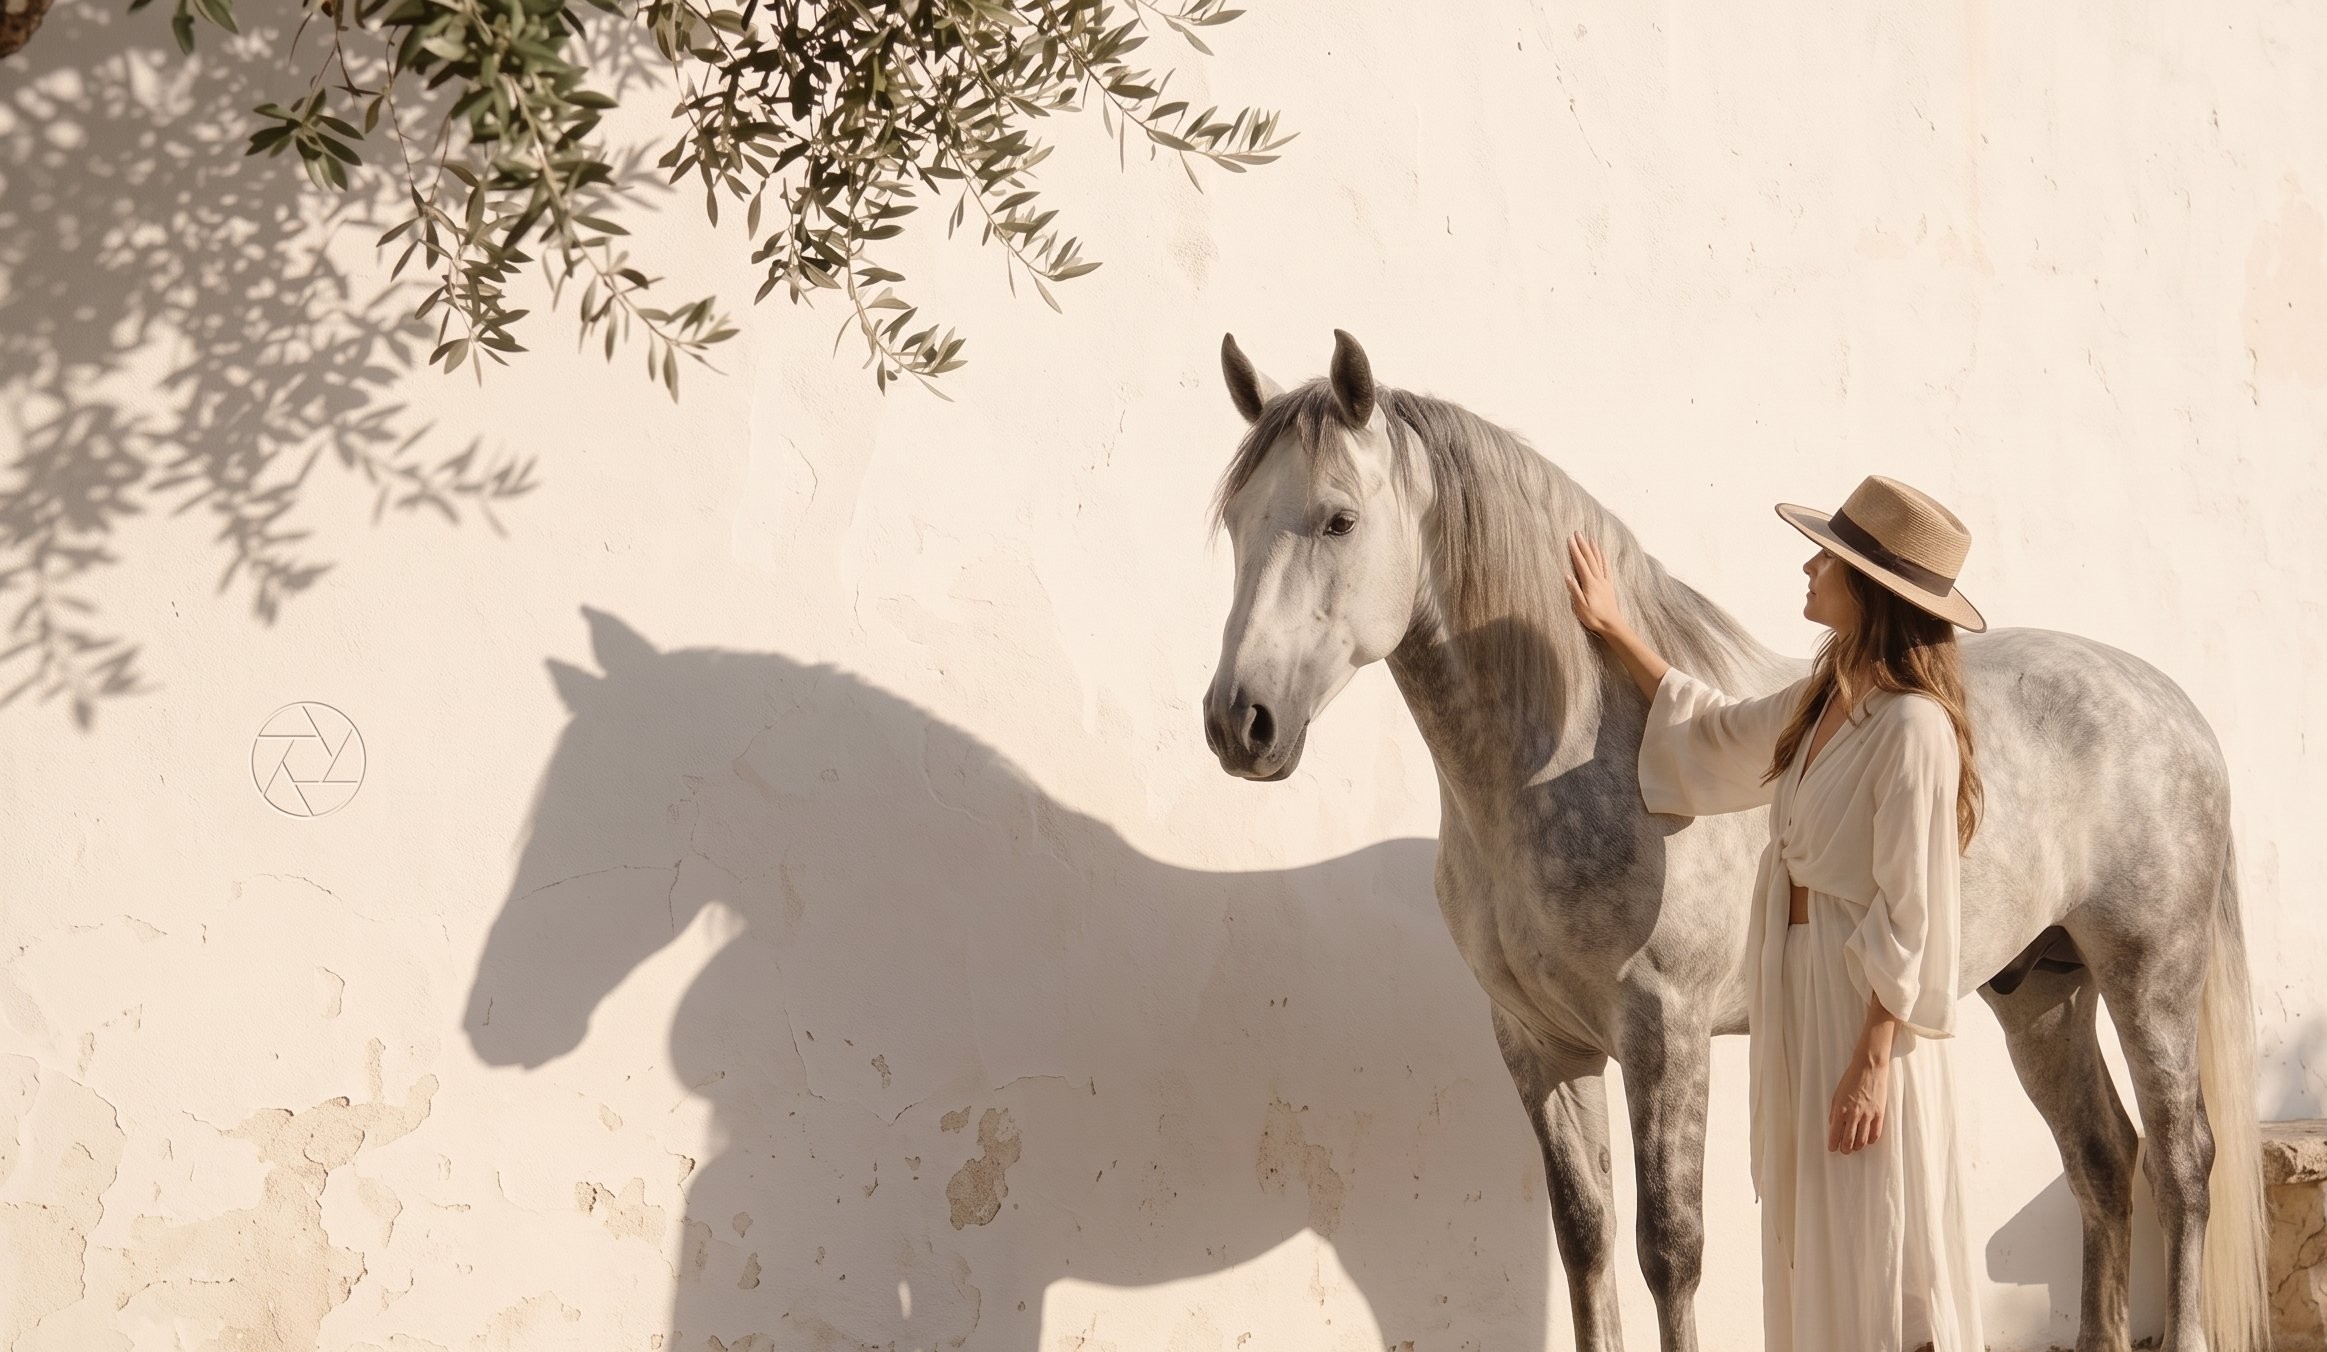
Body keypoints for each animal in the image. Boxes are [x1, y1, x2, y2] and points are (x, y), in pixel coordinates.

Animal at [1198, 330, 2268, 1352]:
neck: (1572, 750)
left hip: (2147, 978)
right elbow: (1584, 1238)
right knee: (2102, 1161)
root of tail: (2168, 702)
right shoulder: (1537, 1044)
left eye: (1338, 519)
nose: (1238, 724)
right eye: (1237, 520)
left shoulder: (1665, 1036)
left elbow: (1669, 1249)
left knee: (2182, 1161)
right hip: (2039, 992)